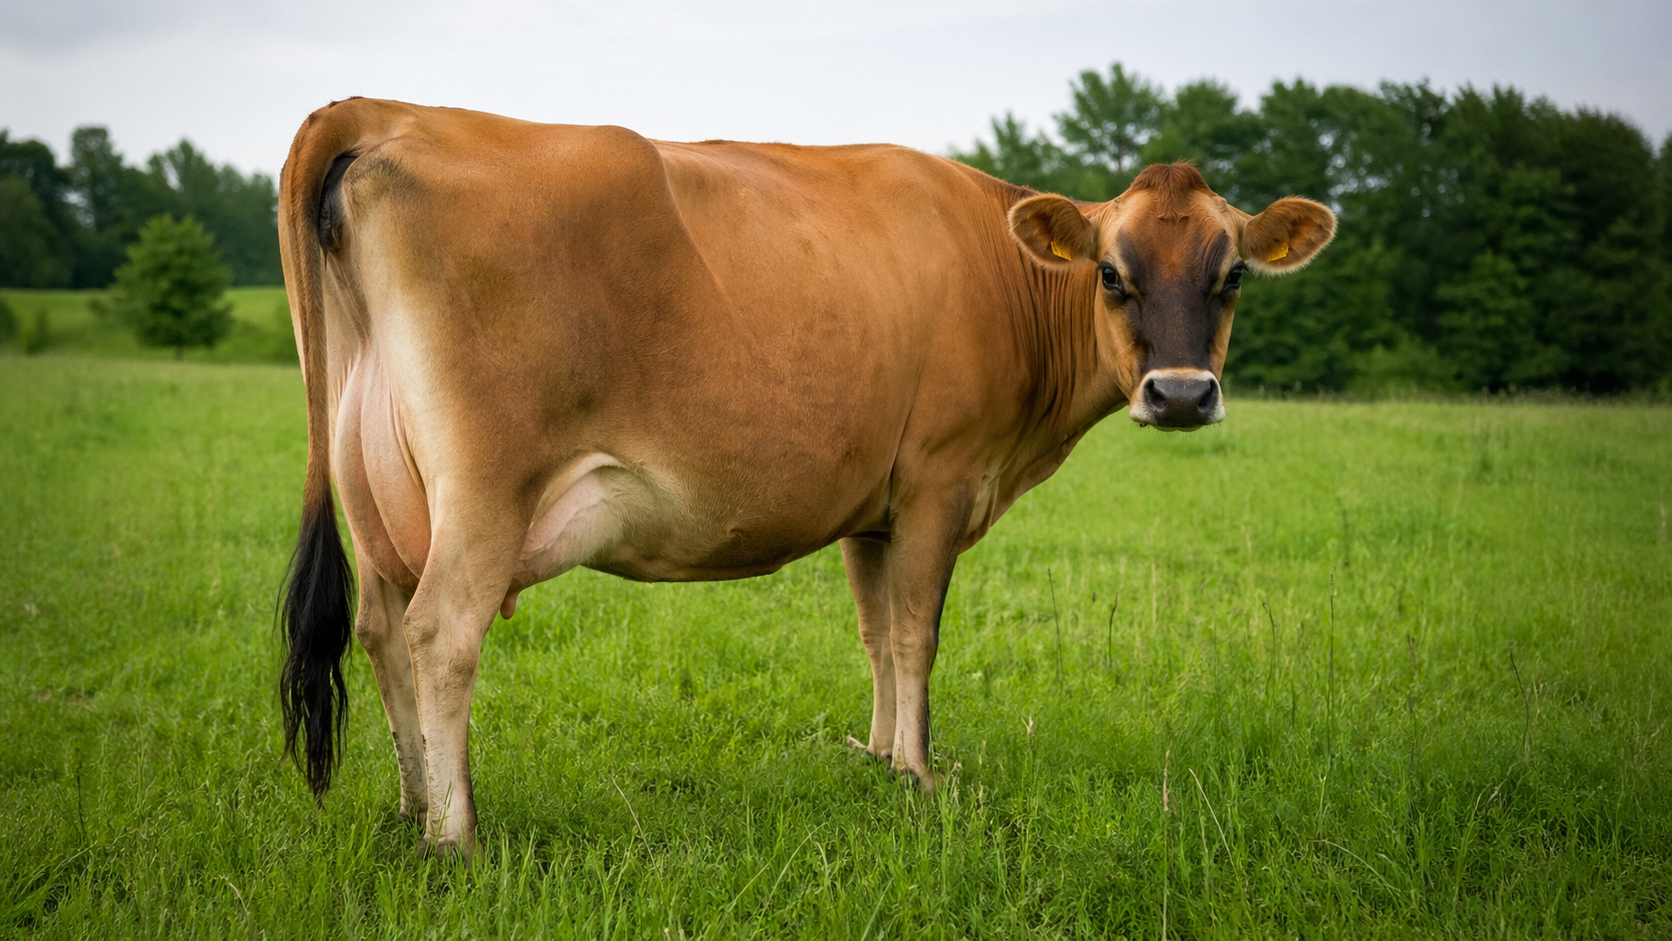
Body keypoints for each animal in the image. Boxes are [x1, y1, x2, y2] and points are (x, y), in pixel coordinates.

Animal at [276, 97, 1335, 857]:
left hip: (375, 492)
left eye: (1232, 274)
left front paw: (878, 758)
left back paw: (411, 807)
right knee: (441, 632)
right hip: (485, 490)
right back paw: (456, 836)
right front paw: (921, 775)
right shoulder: (940, 479)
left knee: (380, 629)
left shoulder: (876, 503)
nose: (1183, 393)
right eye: (1112, 273)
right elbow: (916, 635)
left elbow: (875, 634)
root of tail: (387, 110)